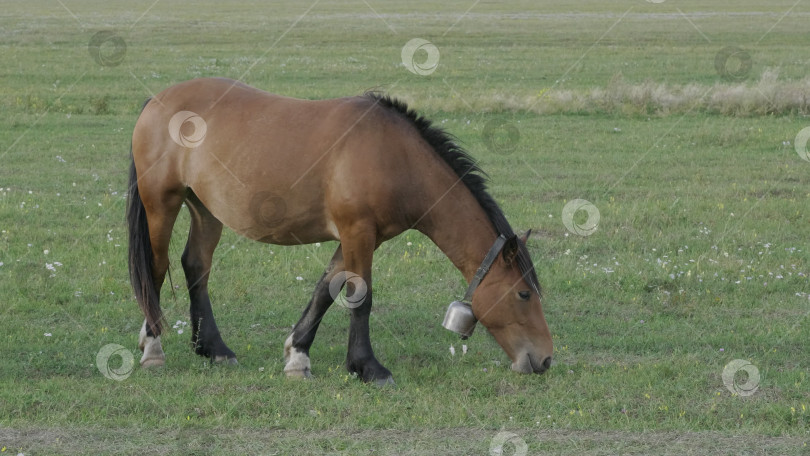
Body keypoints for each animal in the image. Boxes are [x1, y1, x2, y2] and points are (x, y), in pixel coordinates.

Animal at [126, 76, 552, 382]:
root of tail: (156, 100)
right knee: (158, 268)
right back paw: (153, 348)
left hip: (205, 209)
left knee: (196, 266)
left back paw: (214, 349)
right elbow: (360, 298)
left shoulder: (359, 238)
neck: (396, 156)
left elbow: (325, 292)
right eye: (524, 294)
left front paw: (298, 357)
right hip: (162, 204)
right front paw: (368, 367)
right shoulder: (357, 233)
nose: (546, 358)